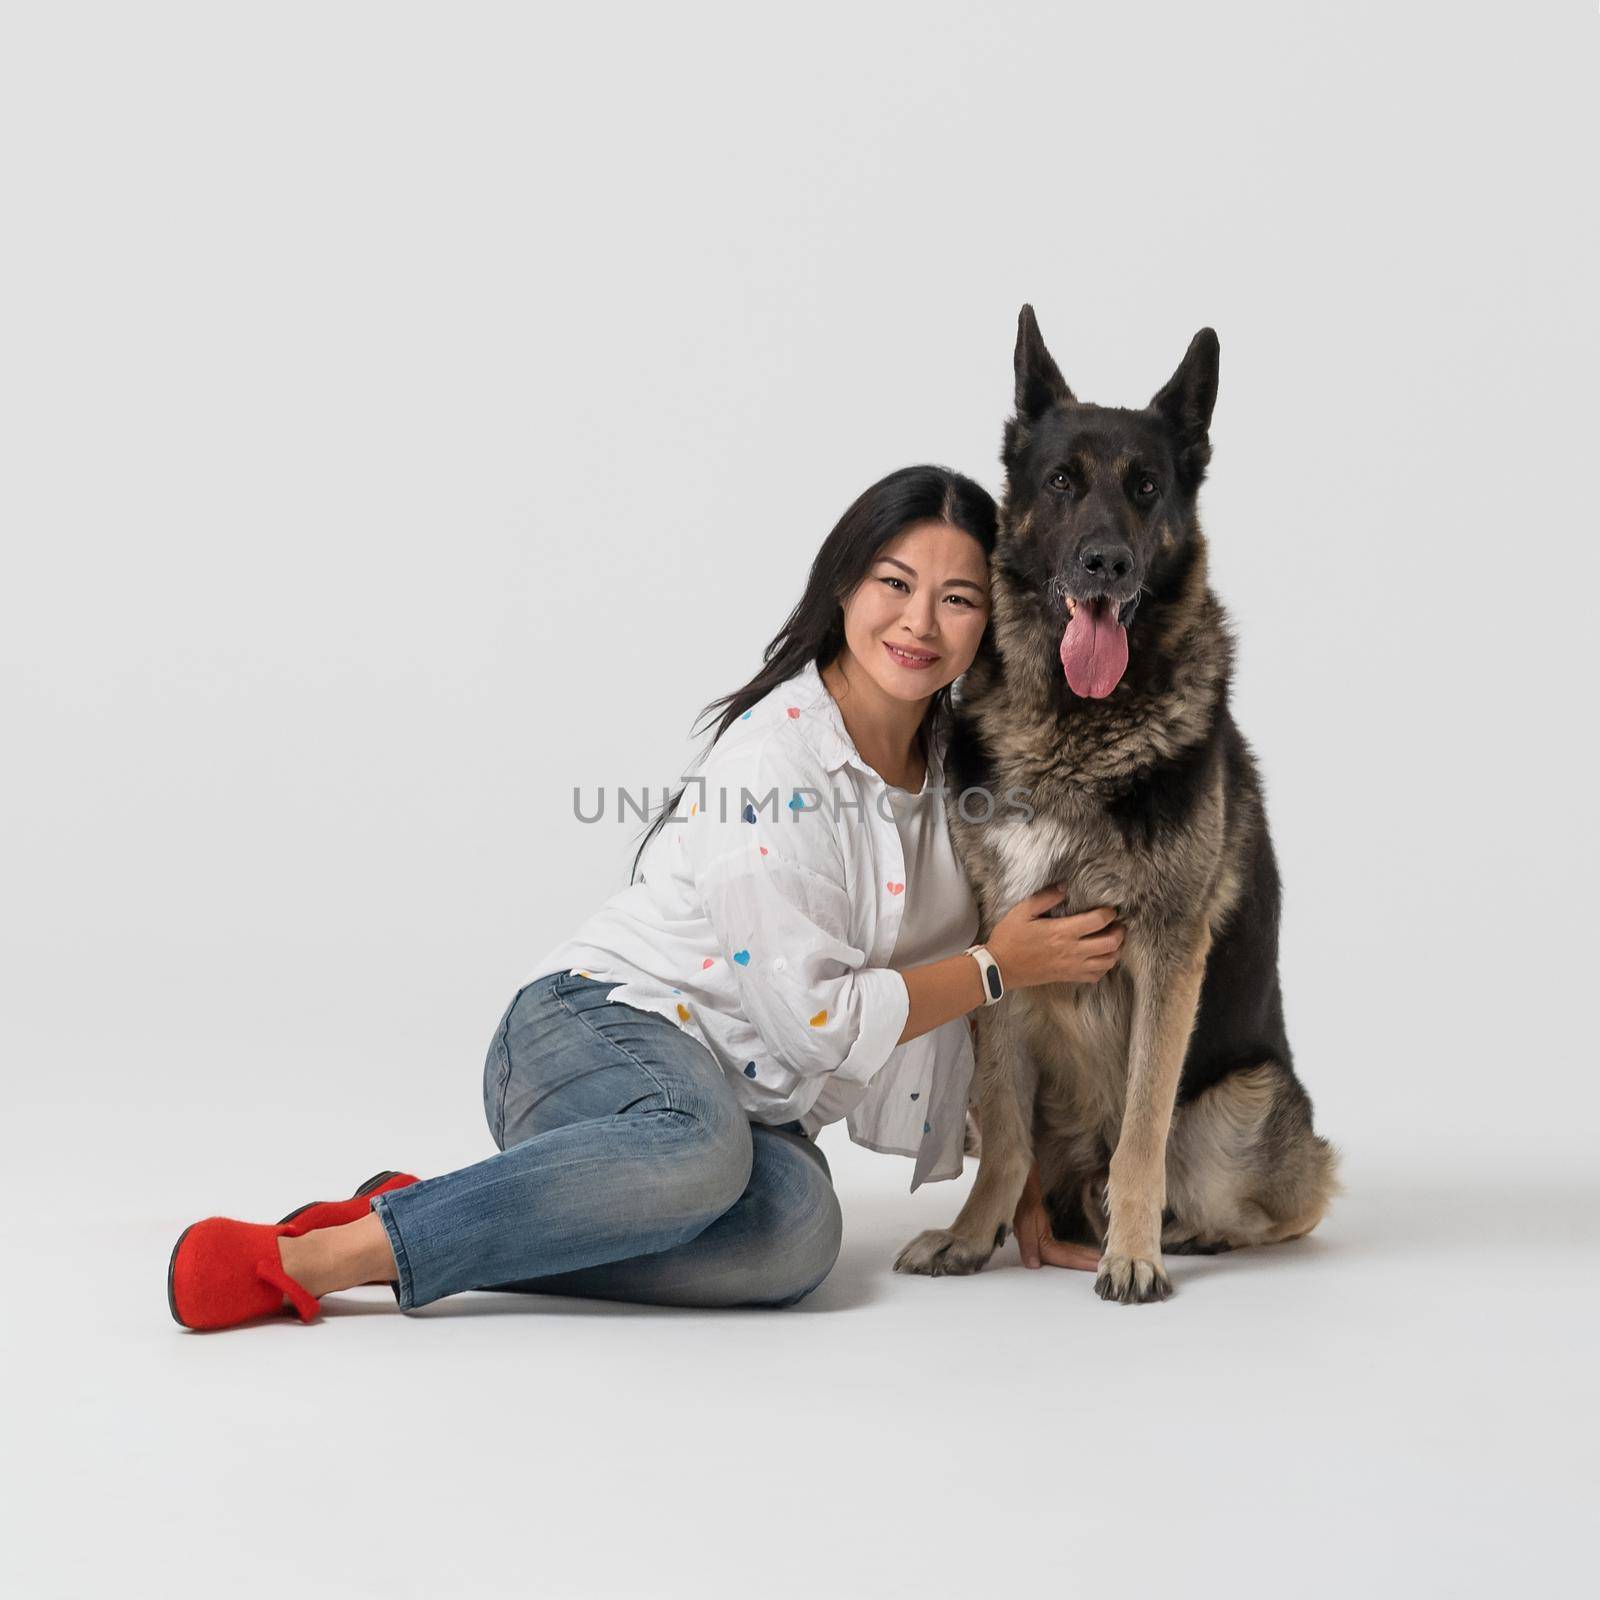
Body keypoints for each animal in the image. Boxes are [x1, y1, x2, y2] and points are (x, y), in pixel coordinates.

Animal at [902, 308, 1337, 1299]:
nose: (1107, 563)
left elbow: (1142, 1129)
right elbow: (1006, 1128)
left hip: (1249, 1100)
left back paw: (1172, 1230)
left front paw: (1134, 1254)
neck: (1073, 732)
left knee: (1273, 1198)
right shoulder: (1000, 942)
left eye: (1146, 487)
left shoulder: (1168, 955)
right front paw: (971, 1233)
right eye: (1062, 481)